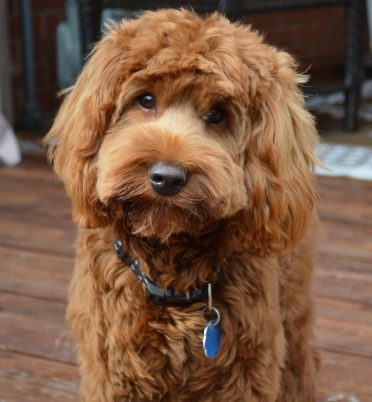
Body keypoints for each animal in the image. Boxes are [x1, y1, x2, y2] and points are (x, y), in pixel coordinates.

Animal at [45, 9, 320, 402]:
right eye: (145, 100)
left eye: (218, 114)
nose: (167, 178)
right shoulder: (113, 368)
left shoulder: (246, 370)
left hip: (291, 305)